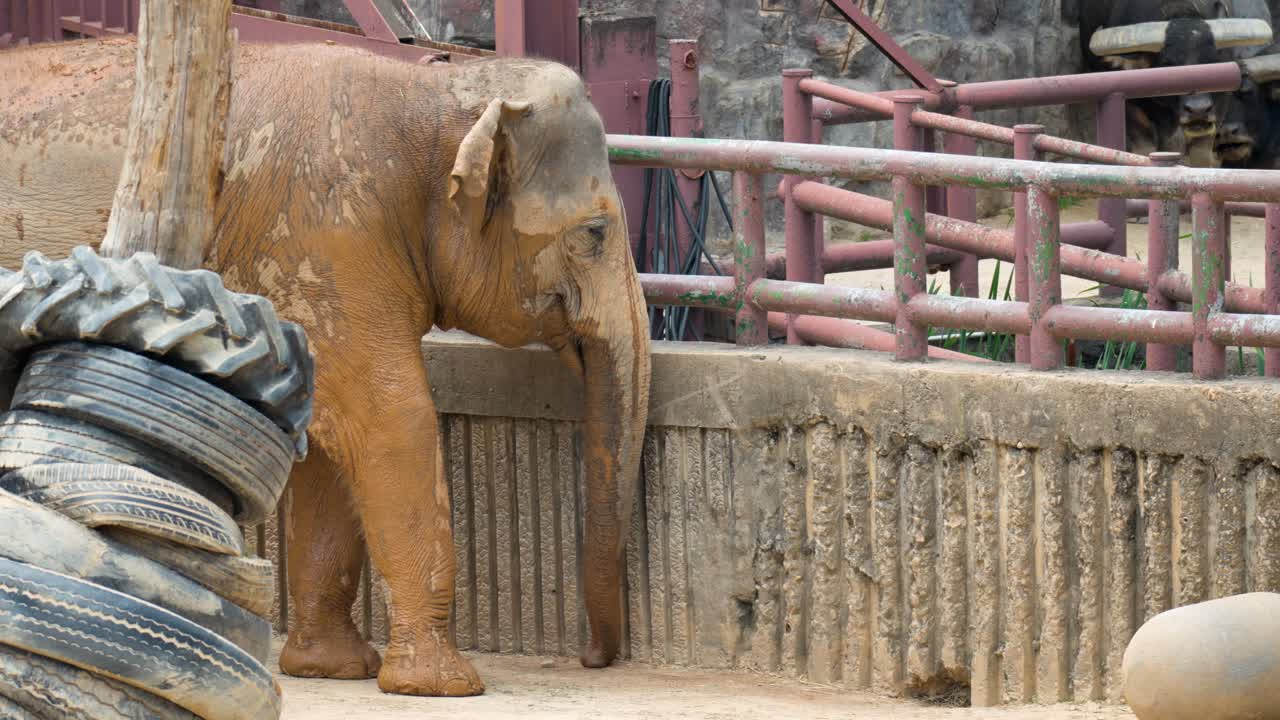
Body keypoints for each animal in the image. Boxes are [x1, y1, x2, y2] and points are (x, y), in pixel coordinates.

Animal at [0, 38, 651, 696]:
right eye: (594, 232)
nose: (592, 659)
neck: (433, 91)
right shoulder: (318, 231)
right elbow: (392, 418)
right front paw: (442, 686)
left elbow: (328, 433)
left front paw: (332, 669)